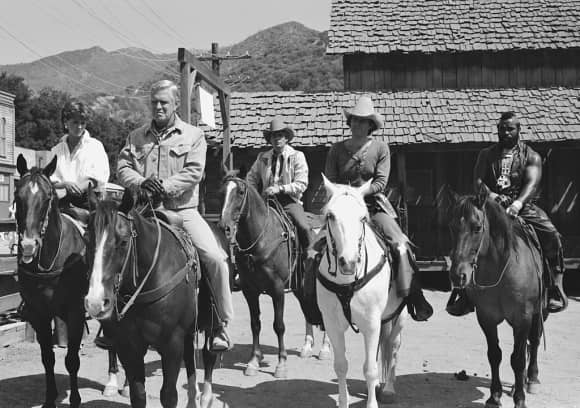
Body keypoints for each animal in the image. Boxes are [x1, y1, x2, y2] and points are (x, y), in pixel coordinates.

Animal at [14, 155, 87, 406]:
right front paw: (49, 399)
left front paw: (75, 399)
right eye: (18, 196)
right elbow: (48, 358)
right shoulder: (39, 313)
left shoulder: (76, 312)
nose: (28, 245)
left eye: (47, 198)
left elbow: (72, 360)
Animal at [82, 191, 216, 408]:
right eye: (86, 239)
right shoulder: (128, 345)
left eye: (123, 241)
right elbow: (138, 394)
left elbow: (168, 395)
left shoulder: (172, 344)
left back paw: (205, 396)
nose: (95, 302)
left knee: (209, 354)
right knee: (190, 359)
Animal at [318, 177, 408, 408]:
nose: (348, 263)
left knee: (393, 346)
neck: (347, 282)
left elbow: (370, 369)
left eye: (362, 217)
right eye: (331, 216)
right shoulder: (332, 323)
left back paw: (389, 389)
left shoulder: (371, 322)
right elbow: (341, 365)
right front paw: (343, 402)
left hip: (398, 316)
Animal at [448, 187, 548, 408]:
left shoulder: (523, 318)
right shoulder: (486, 318)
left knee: (534, 342)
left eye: (477, 227)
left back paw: (532, 379)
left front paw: (520, 399)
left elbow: (517, 359)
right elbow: (495, 355)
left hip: (537, 313)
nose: (458, 275)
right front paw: (494, 397)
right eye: (451, 227)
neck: (502, 268)